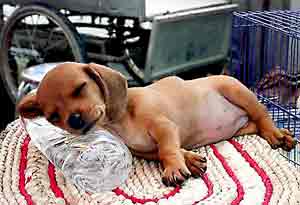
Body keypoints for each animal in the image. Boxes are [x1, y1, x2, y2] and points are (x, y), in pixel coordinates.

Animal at [17, 62, 296, 186]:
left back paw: (276, 134)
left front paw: (174, 167)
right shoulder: (145, 150)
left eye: (80, 88)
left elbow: (168, 149)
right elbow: (165, 152)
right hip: (242, 126)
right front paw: (189, 160)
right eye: (53, 117)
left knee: (263, 115)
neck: (118, 121)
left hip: (237, 92)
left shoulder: (164, 127)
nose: (75, 120)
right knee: (256, 124)